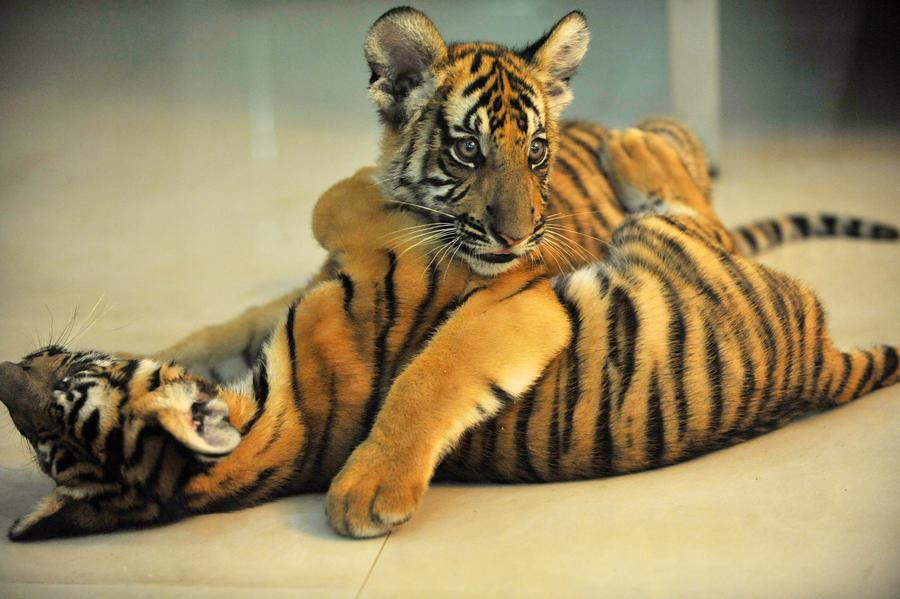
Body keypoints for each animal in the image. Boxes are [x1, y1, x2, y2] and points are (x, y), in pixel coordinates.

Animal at [3, 126, 897, 541]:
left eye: (65, 389)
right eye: (44, 430)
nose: (7, 370)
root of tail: (820, 361)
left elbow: (231, 317)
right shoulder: (467, 280)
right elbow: (350, 233)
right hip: (668, 245)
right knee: (689, 204)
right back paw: (639, 144)